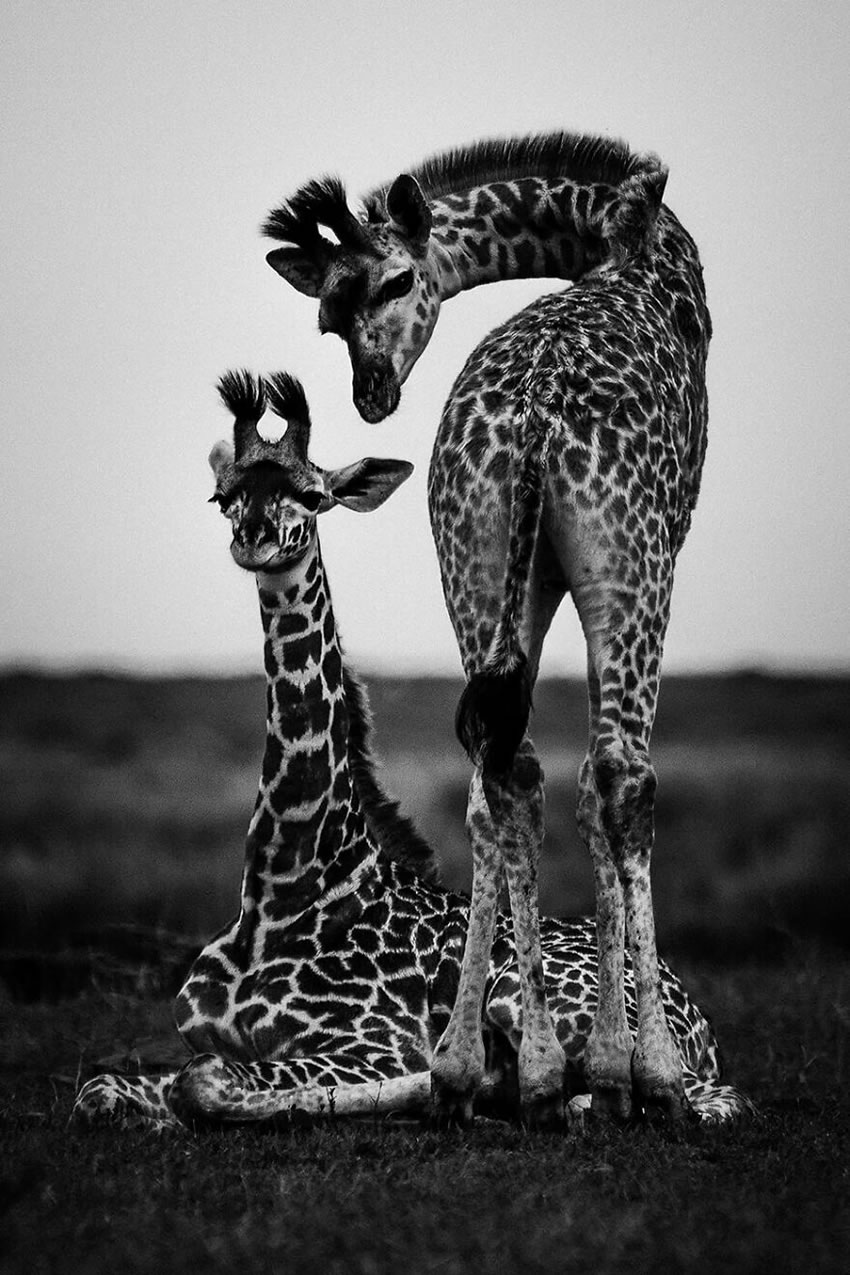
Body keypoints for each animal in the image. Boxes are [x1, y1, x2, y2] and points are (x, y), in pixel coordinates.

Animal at [74, 369, 749, 1127]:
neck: (283, 890)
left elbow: (207, 1078)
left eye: (313, 494)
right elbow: (104, 1087)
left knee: (706, 1099)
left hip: (524, 993)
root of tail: (701, 1023)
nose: (256, 539)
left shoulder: (368, 1043)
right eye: (225, 497)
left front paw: (457, 1082)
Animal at [263, 134, 718, 1122]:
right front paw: (618, 1067)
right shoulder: (659, 540)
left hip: (469, 553)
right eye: (329, 314)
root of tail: (539, 410)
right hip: (630, 567)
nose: (370, 392)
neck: (619, 235)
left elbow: (517, 783)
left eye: (396, 281)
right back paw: (643, 1075)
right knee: (621, 773)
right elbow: (596, 787)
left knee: (500, 767)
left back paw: (482, 1068)